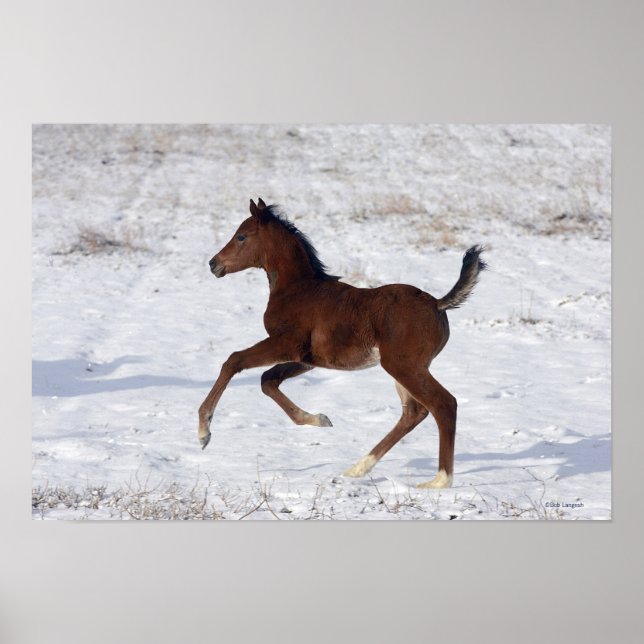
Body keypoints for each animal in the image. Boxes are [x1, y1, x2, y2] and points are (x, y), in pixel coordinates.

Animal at [199, 198, 486, 488]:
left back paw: (439, 481)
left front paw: (204, 432)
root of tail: (438, 304)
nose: (213, 263)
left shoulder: (286, 344)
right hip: (406, 368)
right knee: (413, 413)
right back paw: (357, 469)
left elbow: (234, 361)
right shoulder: (307, 359)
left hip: (403, 366)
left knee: (443, 404)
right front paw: (321, 419)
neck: (297, 289)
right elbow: (268, 380)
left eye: (241, 236)